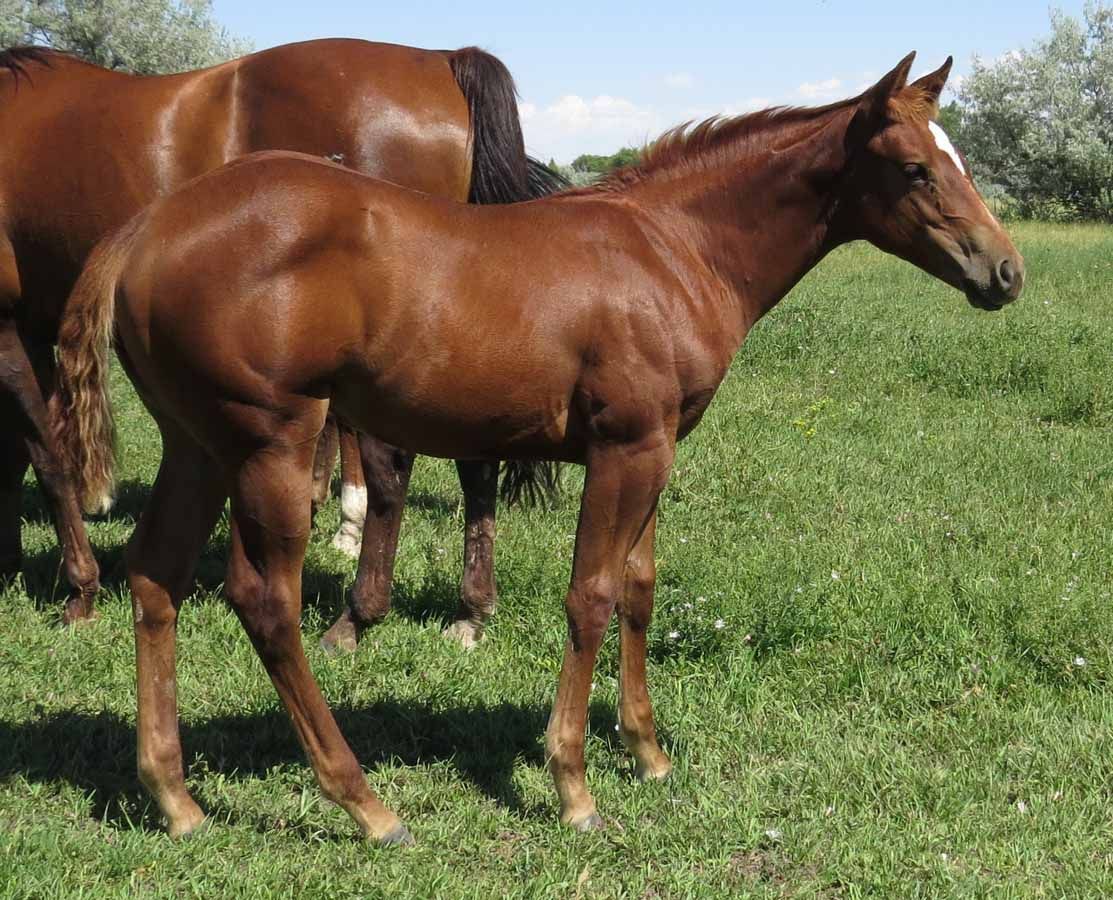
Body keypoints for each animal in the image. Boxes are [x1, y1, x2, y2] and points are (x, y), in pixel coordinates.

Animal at [0, 40, 561, 638]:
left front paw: (79, 588)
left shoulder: (11, 327)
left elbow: (46, 452)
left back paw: (360, 611)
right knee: (472, 460)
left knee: (393, 464)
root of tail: (441, 58)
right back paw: (468, 611)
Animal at [51, 53, 1023, 843]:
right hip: (271, 443)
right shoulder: (625, 448)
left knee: (156, 575)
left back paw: (175, 798)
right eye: (913, 168)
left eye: (960, 160)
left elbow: (638, 590)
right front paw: (573, 785)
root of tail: (148, 227)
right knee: (264, 600)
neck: (670, 249)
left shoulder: (657, 447)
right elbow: (590, 597)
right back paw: (365, 804)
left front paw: (647, 751)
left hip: (199, 443)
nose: (1004, 272)